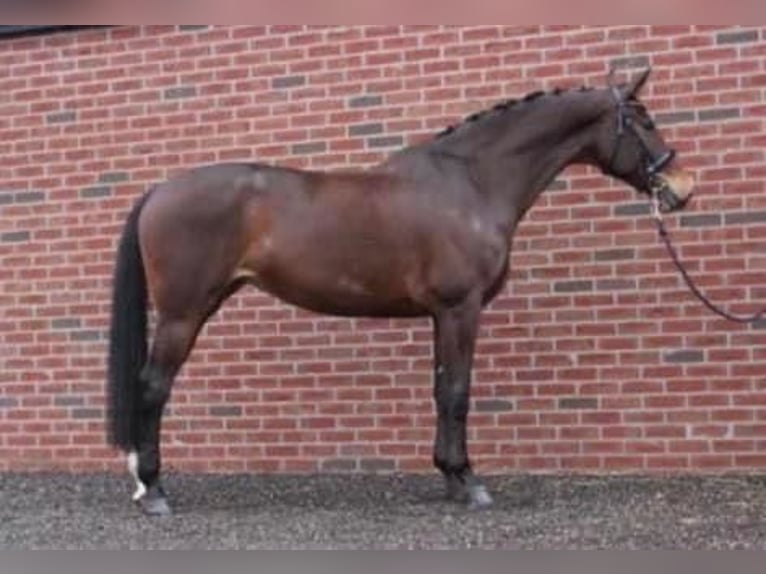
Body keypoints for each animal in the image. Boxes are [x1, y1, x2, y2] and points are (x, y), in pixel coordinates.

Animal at [105, 68, 700, 516]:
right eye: (644, 120)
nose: (682, 189)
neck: (472, 182)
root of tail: (158, 191)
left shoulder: (441, 314)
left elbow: (441, 391)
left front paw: (451, 478)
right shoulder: (461, 309)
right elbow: (458, 392)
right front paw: (470, 484)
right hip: (183, 314)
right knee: (153, 387)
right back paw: (153, 491)